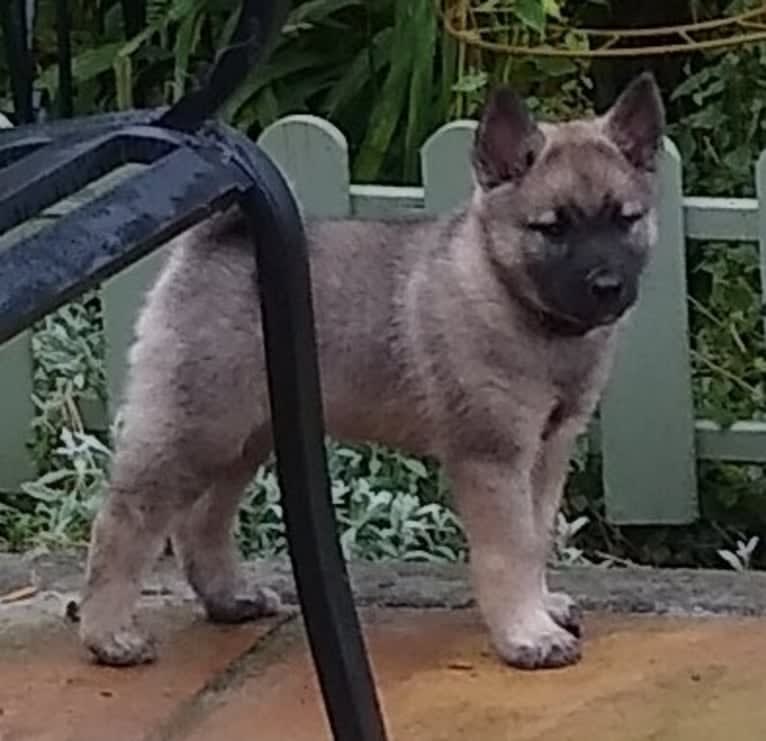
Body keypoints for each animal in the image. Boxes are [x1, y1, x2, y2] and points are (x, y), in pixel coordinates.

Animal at [79, 73, 664, 672]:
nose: (608, 286)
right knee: (127, 517)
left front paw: (542, 608)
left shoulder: (546, 452)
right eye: (553, 228)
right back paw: (108, 633)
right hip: (199, 427)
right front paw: (528, 632)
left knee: (200, 519)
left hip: (245, 434)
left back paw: (229, 598)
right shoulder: (492, 457)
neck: (513, 299)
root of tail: (209, 241)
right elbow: (510, 549)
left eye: (626, 219)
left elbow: (536, 533)